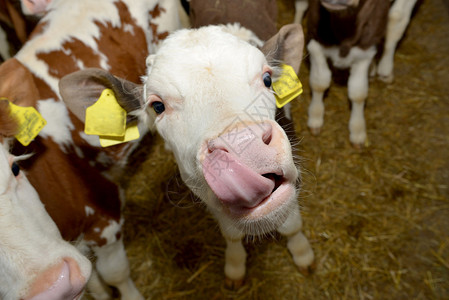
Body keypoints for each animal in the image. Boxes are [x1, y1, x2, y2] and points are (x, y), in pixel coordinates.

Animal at [57, 22, 314, 286]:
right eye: (157, 106)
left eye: (267, 79)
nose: (245, 144)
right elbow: (231, 234)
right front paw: (235, 265)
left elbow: (292, 225)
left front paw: (303, 255)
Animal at [304, 0, 416, 145]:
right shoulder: (314, 39)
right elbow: (319, 82)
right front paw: (315, 117)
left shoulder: (365, 51)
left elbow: (358, 93)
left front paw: (357, 130)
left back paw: (383, 69)